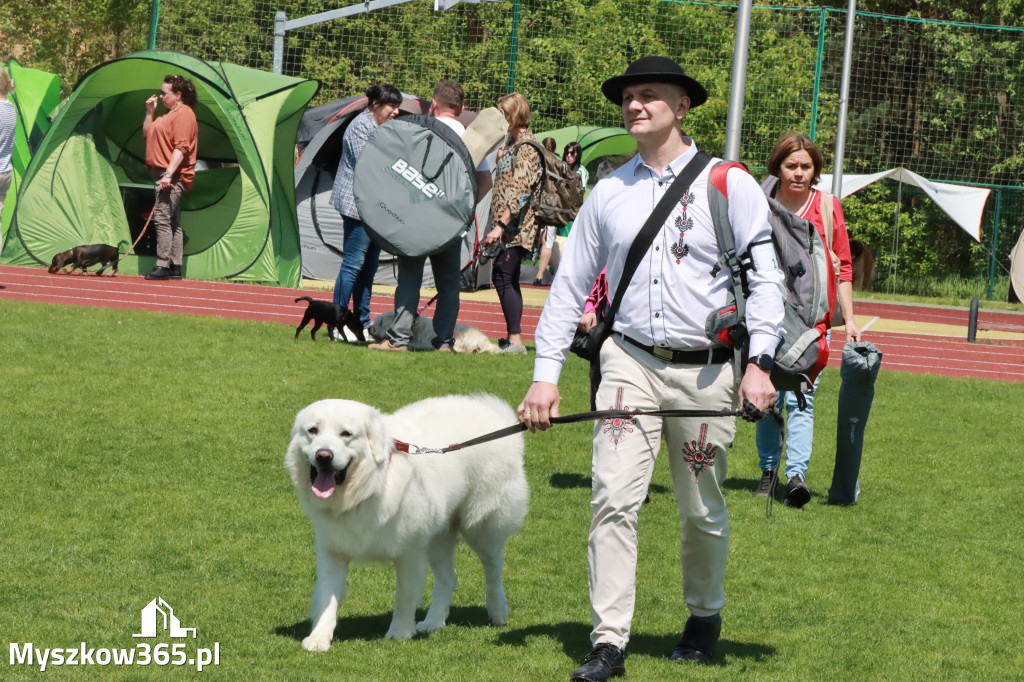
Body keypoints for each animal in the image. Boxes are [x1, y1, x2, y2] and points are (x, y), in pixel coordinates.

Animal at [286, 393, 528, 647]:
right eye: (313, 430)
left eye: (346, 434)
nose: (323, 456)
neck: (369, 488)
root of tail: (494, 413)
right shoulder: (332, 551)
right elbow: (327, 598)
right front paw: (319, 637)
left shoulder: (409, 553)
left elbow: (404, 595)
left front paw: (399, 632)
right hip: (437, 538)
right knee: (449, 578)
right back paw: (433, 622)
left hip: (481, 527)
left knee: (493, 568)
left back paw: (498, 610)